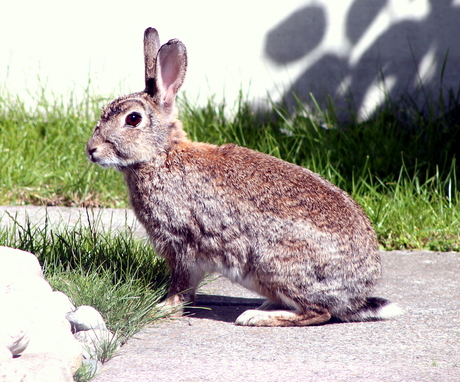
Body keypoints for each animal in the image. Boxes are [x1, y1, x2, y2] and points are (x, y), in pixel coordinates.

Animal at [86, 27, 402, 326]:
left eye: (133, 119)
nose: (91, 150)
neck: (161, 155)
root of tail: (354, 295)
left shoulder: (181, 245)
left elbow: (182, 286)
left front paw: (162, 308)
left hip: (274, 263)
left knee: (318, 312)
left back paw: (255, 317)